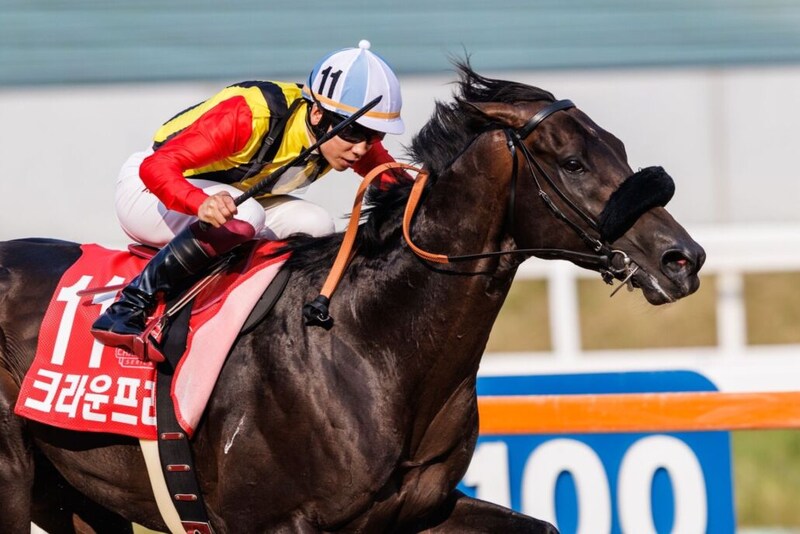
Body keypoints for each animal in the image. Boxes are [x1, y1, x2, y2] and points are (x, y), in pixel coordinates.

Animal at [0, 62, 705, 533]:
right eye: (573, 163)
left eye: (617, 148)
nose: (684, 259)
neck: (369, 341)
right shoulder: (273, 523)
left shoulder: (418, 511)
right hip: (14, 480)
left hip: (74, 494)